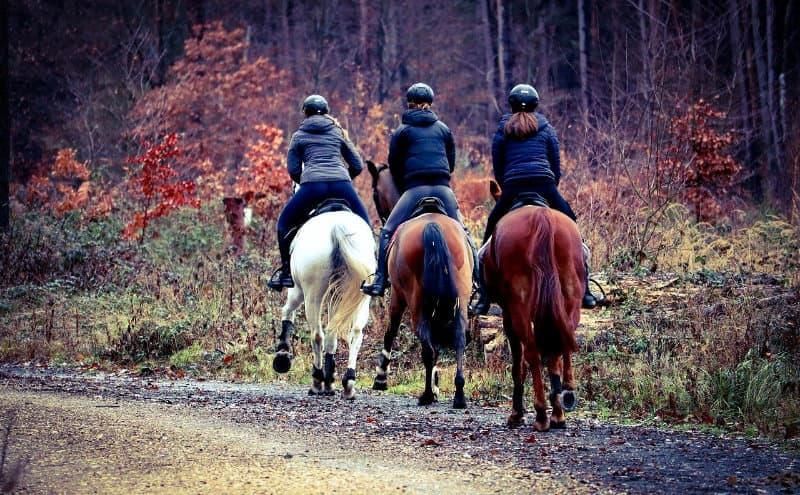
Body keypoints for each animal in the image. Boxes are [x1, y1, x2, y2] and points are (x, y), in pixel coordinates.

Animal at [272, 205, 376, 399]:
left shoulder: (297, 290)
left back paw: (317, 382)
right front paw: (331, 381)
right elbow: (332, 337)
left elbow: (287, 312)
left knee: (317, 335)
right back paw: (348, 383)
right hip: (362, 294)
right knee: (355, 333)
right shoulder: (338, 295)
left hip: (312, 294)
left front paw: (282, 356)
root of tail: (336, 228)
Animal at [366, 161, 471, 409]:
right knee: (457, 338)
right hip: (458, 300)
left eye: (375, 193)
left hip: (416, 303)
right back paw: (459, 394)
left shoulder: (397, 295)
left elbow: (390, 331)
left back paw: (426, 395)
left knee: (426, 345)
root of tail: (432, 225)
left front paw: (381, 379)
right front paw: (437, 382)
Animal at [481, 179, 582, 431]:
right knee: (559, 346)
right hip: (570, 298)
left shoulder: (508, 314)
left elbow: (518, 362)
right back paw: (559, 409)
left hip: (519, 306)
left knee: (533, 353)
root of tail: (541, 217)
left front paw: (517, 413)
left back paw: (541, 415)